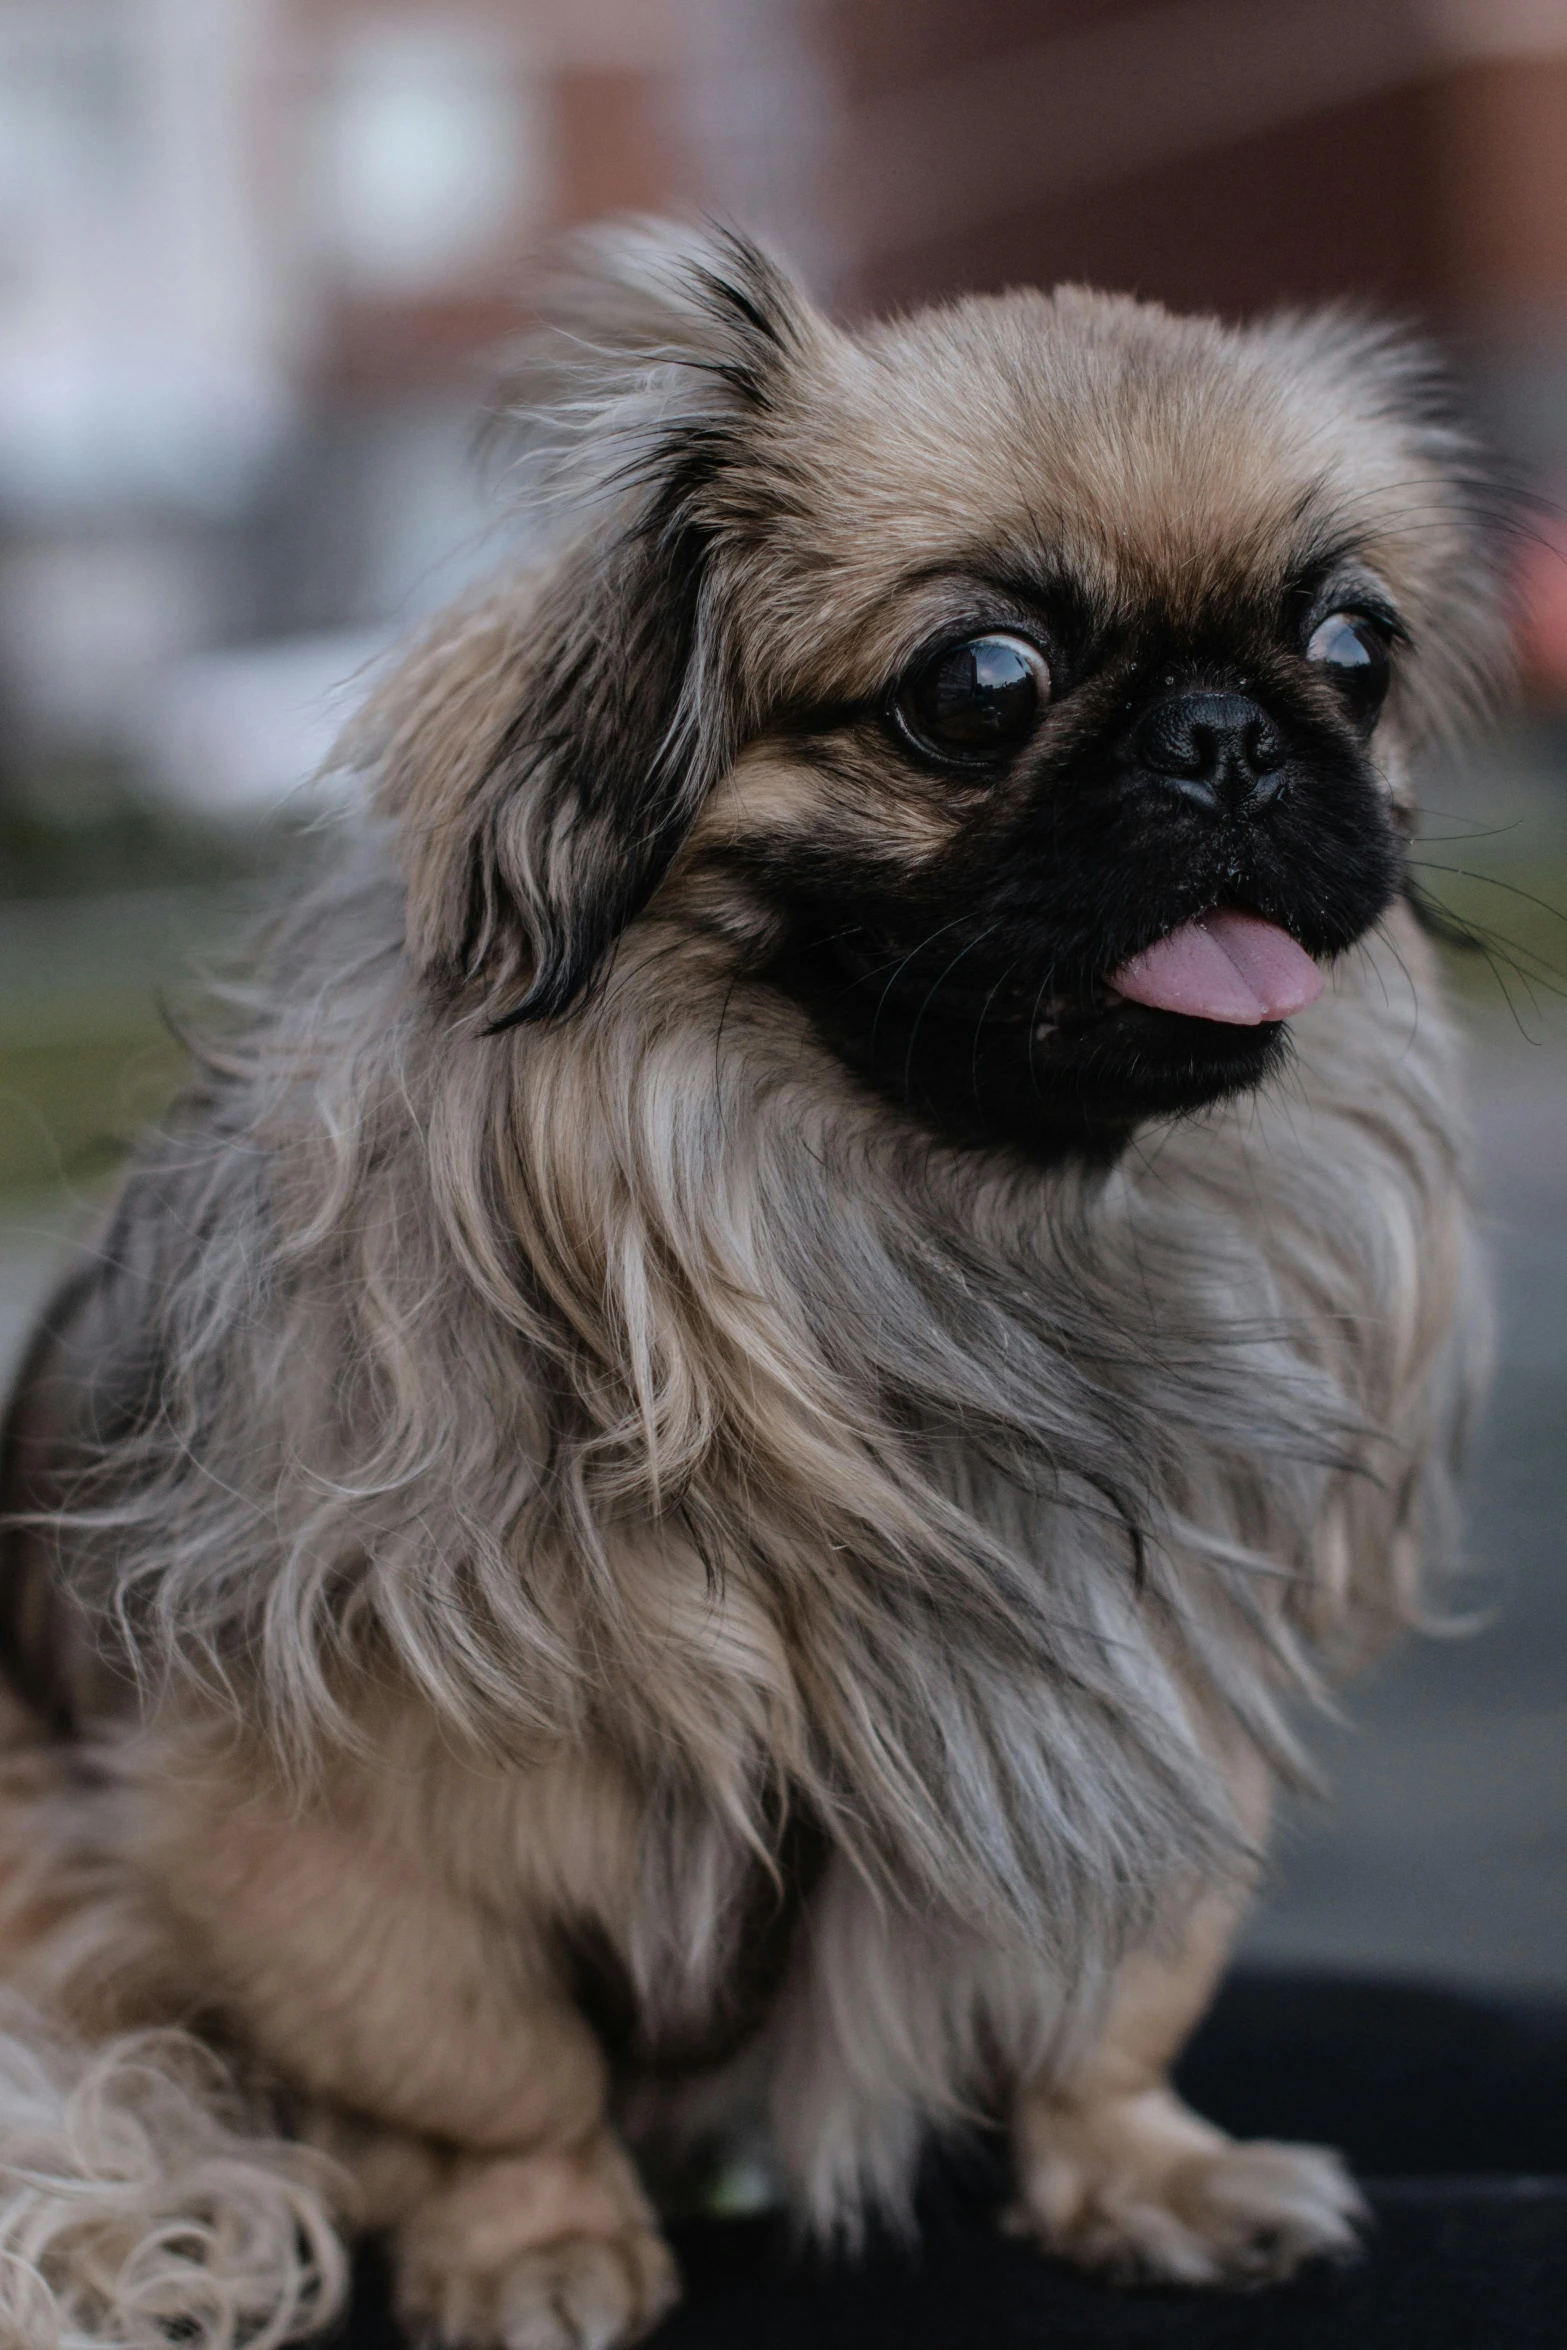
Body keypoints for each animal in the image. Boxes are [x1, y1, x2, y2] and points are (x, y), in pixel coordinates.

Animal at [0, 224, 1503, 2350]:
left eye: (1352, 651)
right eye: (981, 685)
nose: (1226, 732)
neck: (929, 1244)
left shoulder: (1151, 1709)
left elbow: (1114, 2006)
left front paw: (1144, 2177)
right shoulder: (289, 1823)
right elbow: (478, 2062)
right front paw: (531, 2242)